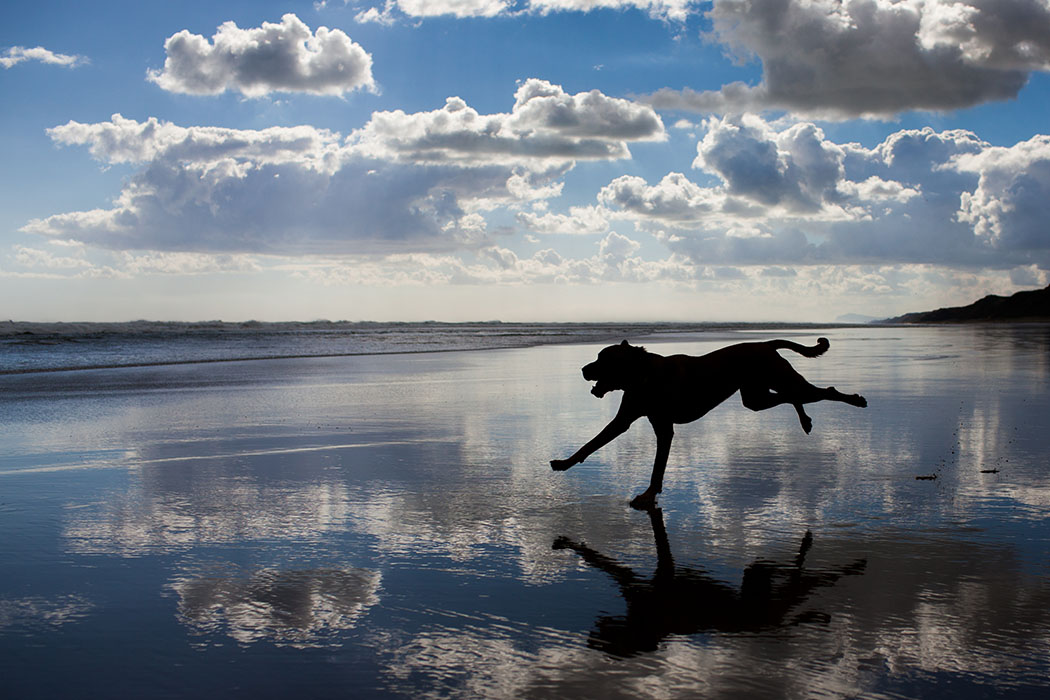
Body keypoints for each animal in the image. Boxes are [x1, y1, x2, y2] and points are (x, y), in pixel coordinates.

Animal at [550, 335, 869, 505]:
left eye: (603, 360)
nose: (583, 369)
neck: (644, 375)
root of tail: (766, 343)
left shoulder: (664, 429)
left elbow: (657, 468)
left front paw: (649, 494)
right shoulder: (625, 420)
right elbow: (590, 445)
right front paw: (565, 463)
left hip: (776, 383)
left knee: (822, 391)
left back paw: (854, 400)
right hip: (755, 397)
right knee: (792, 396)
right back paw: (805, 420)